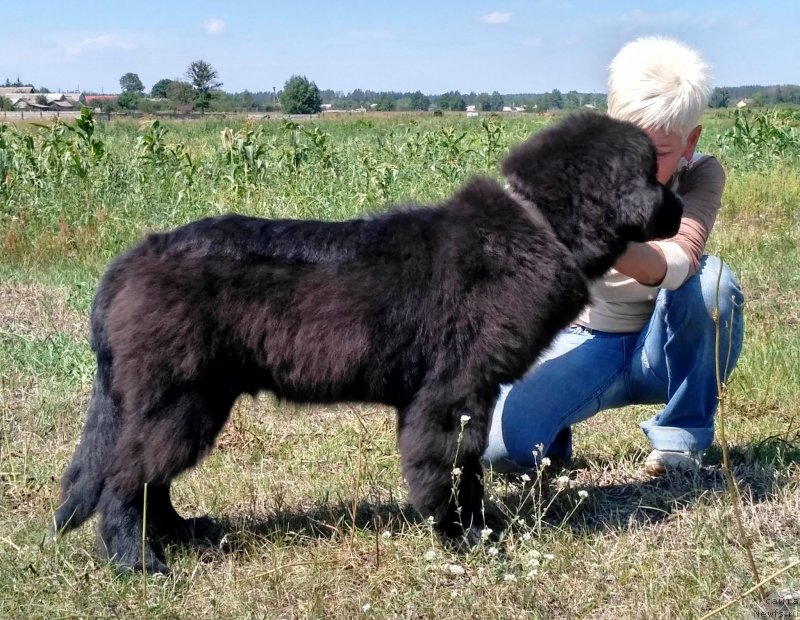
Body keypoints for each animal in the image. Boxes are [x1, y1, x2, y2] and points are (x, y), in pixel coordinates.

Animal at [50, 110, 680, 572]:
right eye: (655, 174)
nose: (679, 206)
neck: (538, 225)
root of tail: (130, 261)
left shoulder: (462, 399)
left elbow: (464, 470)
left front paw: (477, 530)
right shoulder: (450, 397)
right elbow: (449, 470)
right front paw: (462, 537)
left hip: (186, 403)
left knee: (148, 479)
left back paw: (183, 533)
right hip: (180, 399)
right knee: (125, 481)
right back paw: (139, 561)